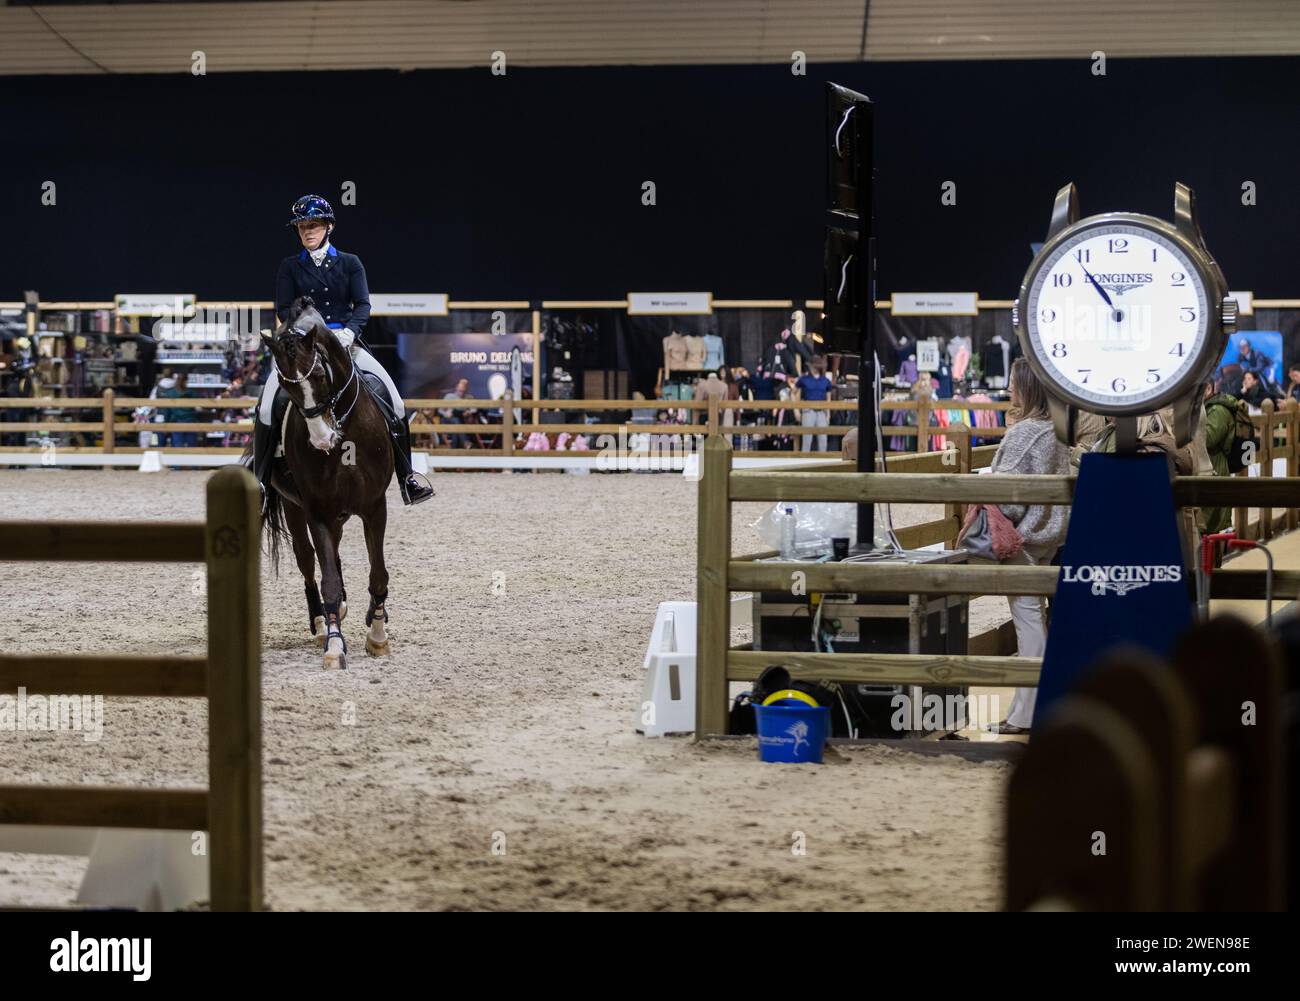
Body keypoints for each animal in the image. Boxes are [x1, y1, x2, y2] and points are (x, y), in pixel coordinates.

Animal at [253, 296, 392, 670]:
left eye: (318, 374)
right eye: (285, 384)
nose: (322, 440)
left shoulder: (375, 507)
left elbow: (378, 573)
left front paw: (377, 634)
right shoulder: (317, 511)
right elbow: (326, 577)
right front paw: (334, 643)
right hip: (295, 507)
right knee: (307, 560)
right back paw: (321, 620)